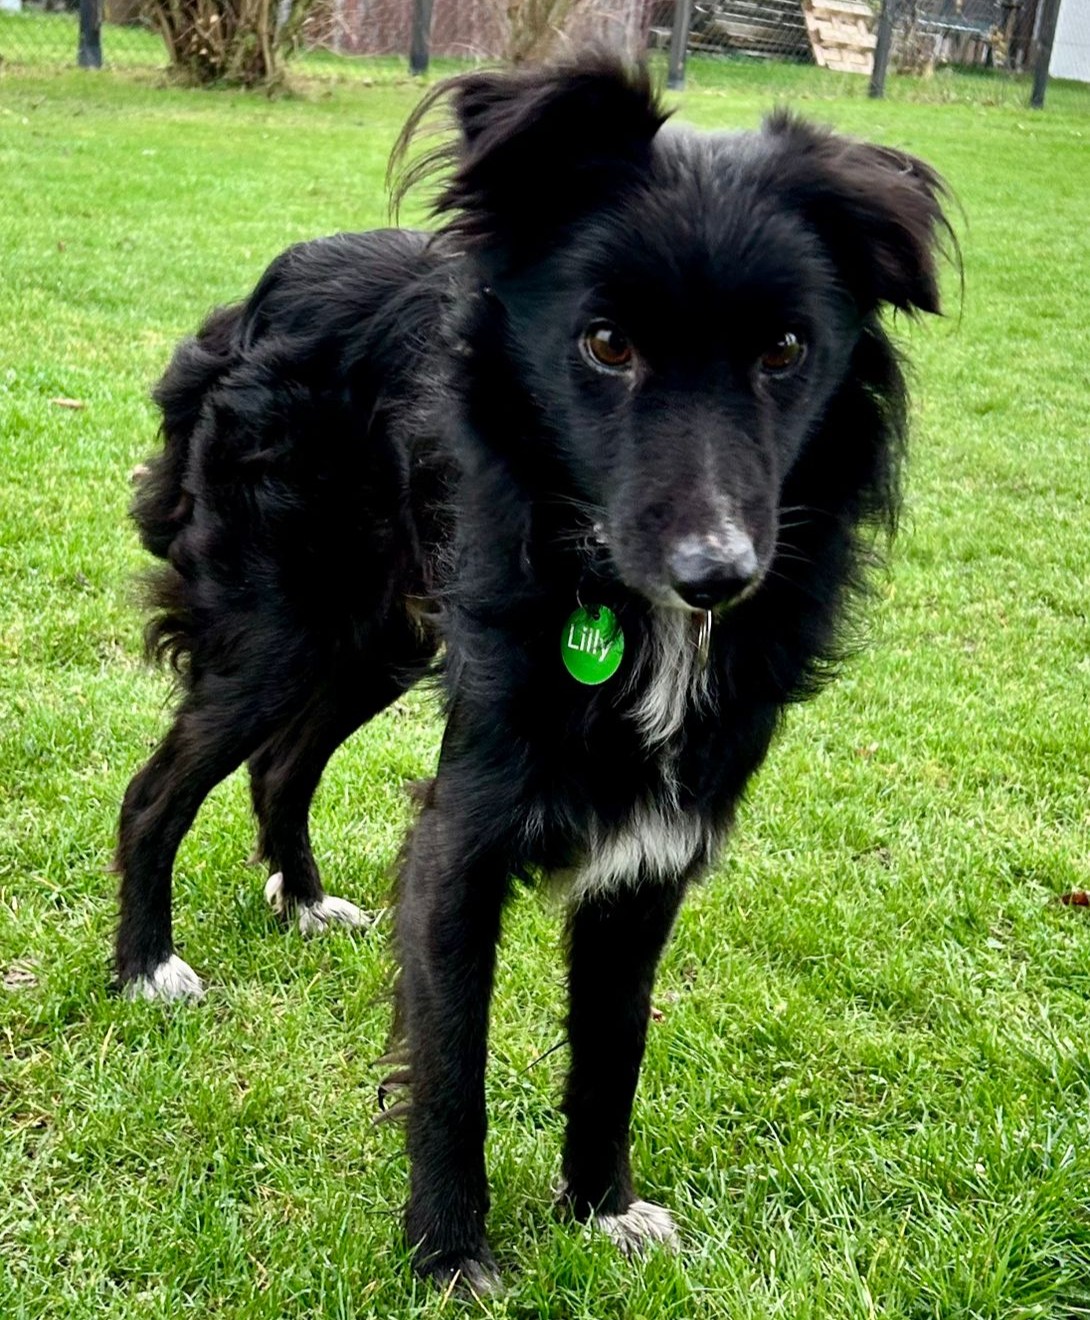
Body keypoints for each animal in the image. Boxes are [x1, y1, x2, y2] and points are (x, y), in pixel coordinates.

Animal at [113, 52, 950, 1291]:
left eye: (786, 352)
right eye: (605, 344)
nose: (716, 574)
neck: (618, 601)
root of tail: (276, 280)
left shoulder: (655, 846)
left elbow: (612, 1046)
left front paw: (600, 1207)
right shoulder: (468, 829)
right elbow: (450, 1061)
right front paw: (451, 1253)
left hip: (382, 637)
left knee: (281, 766)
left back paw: (303, 900)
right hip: (281, 629)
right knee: (157, 788)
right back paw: (145, 966)